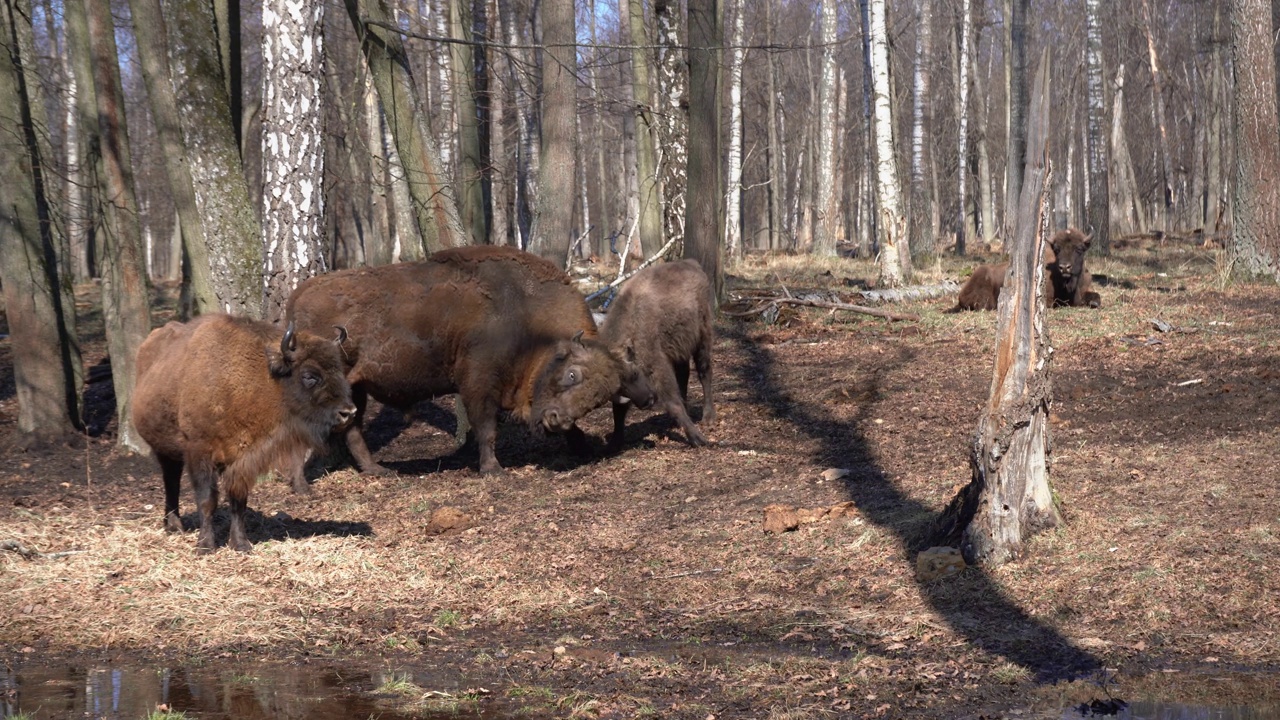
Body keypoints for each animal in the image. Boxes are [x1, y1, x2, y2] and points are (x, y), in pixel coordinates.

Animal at [131, 311, 355, 550]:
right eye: (309, 375)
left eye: (339, 370)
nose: (349, 412)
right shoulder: (199, 452)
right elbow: (206, 500)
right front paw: (205, 546)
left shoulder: (242, 458)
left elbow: (238, 500)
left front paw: (240, 544)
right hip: (164, 449)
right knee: (171, 481)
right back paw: (174, 526)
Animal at [285, 243, 655, 474]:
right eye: (573, 374)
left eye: (598, 400)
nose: (556, 421)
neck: (528, 319)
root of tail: (300, 294)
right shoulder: (479, 382)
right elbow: (486, 427)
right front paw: (493, 470)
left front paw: (580, 444)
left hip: (356, 388)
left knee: (353, 427)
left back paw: (378, 470)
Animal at [596, 257, 716, 448]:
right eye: (618, 385)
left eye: (634, 373)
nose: (647, 402)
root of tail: (692, 264)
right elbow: (618, 410)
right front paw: (615, 442)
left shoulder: (657, 364)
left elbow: (672, 402)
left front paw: (697, 438)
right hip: (679, 348)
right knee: (683, 375)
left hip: (703, 336)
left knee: (705, 372)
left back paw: (709, 417)